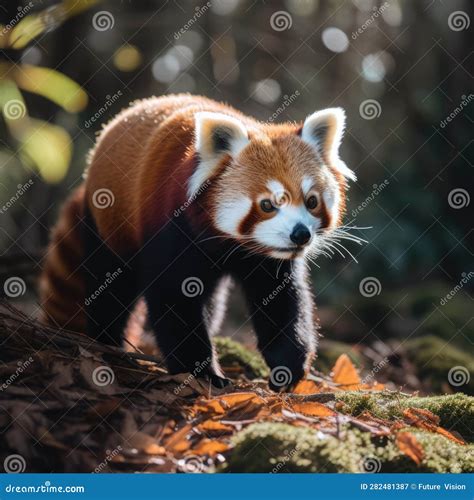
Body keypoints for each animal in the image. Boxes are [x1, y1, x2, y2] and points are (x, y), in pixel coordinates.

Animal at [39, 93, 356, 390]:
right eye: (268, 204)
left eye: (311, 201)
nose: (301, 234)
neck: (230, 244)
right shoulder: (172, 228)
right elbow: (174, 300)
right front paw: (203, 373)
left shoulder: (266, 259)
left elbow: (281, 302)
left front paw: (287, 367)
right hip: (108, 223)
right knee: (109, 284)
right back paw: (107, 342)